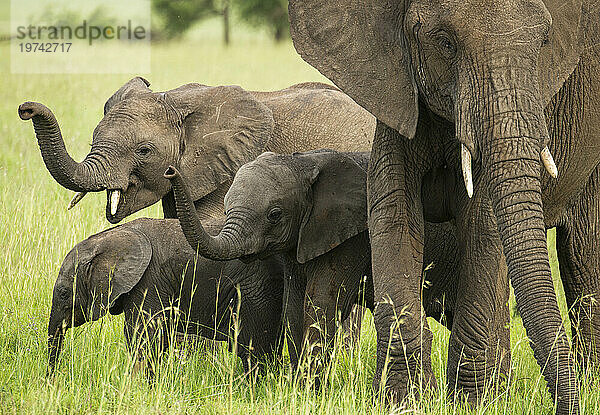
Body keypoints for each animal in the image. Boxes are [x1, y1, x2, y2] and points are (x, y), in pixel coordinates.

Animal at [48, 218, 288, 376]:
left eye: (64, 293)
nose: (52, 378)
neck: (109, 237)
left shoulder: (148, 281)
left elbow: (143, 338)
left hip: (255, 290)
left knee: (254, 349)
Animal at [290, 0, 600, 415]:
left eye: (544, 41)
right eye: (446, 43)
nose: (566, 405)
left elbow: (483, 227)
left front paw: (468, 404)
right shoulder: (397, 94)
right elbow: (394, 217)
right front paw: (401, 402)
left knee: (583, 259)